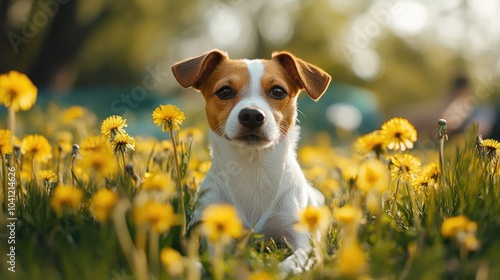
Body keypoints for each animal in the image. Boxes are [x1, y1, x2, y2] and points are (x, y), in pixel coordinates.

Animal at [172, 49, 332, 272]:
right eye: (224, 91)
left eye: (278, 91)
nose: (252, 115)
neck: (253, 166)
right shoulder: (211, 237)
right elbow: (204, 258)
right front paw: (194, 266)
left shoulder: (302, 240)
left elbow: (296, 259)